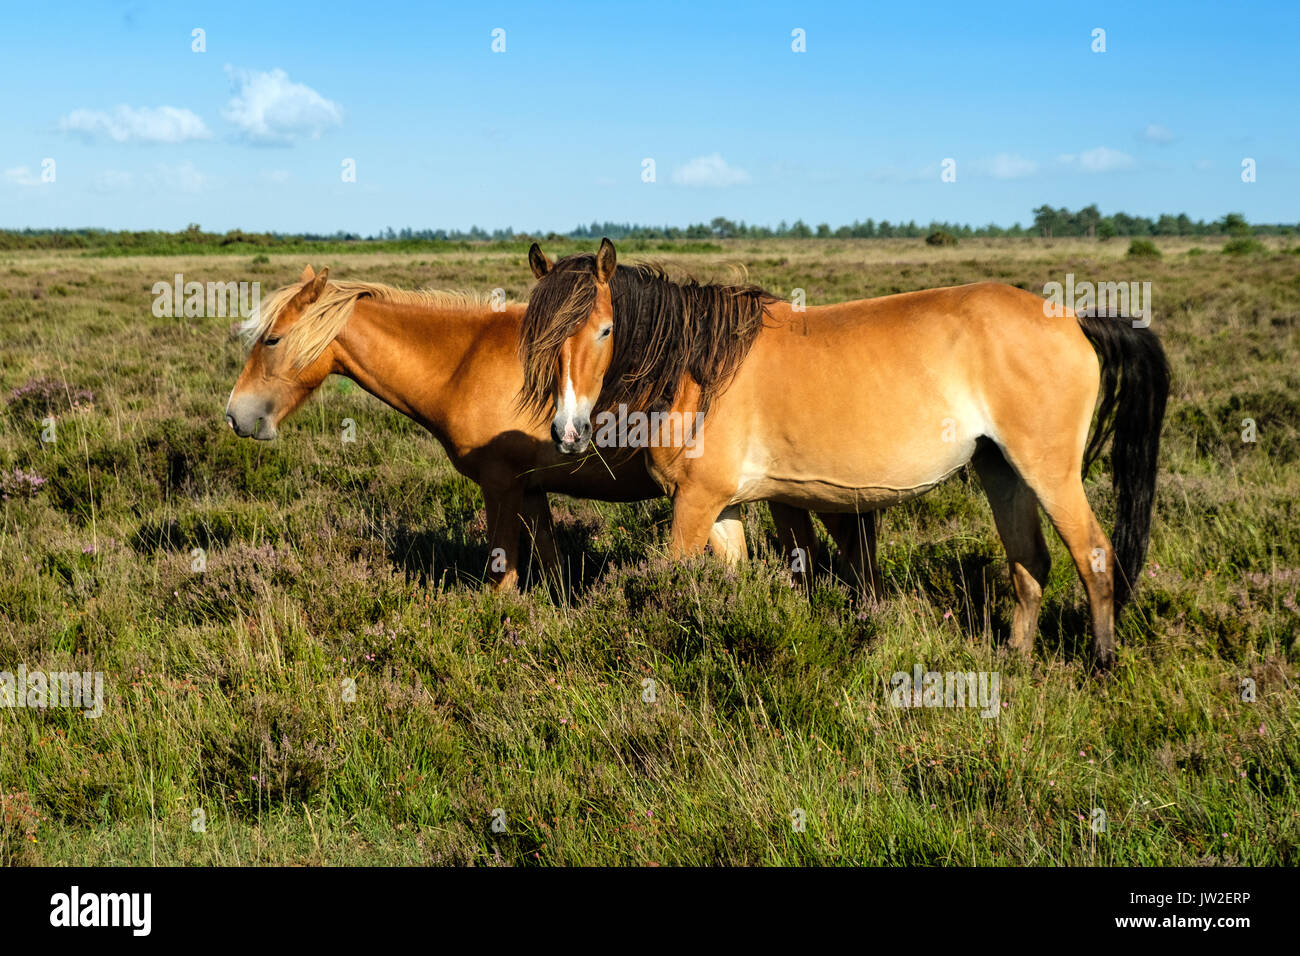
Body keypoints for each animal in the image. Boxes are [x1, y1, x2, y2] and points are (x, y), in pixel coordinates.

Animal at [224, 265, 866, 591]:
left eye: (272, 339)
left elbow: (503, 576)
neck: (463, 360)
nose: (237, 414)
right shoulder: (532, 490)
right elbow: (552, 568)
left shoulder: (501, 488)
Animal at [517, 240, 1170, 668]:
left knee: (1094, 555)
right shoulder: (725, 507)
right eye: (538, 335)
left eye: (604, 330)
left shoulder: (695, 505)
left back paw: (1101, 667)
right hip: (1002, 469)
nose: (567, 430)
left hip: (1048, 472)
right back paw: (1015, 658)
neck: (701, 368)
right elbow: (729, 588)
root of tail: (1075, 318)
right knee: (1029, 561)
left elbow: (669, 583)